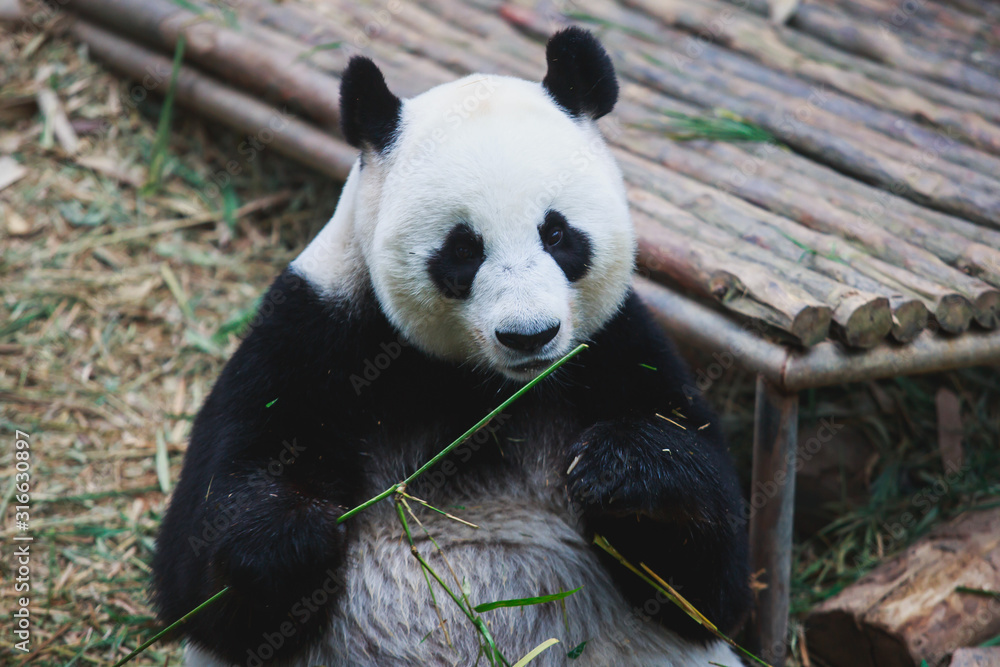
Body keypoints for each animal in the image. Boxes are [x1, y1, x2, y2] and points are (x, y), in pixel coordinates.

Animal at [152, 28, 750, 667]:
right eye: (463, 249)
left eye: (557, 233)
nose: (530, 335)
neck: (482, 385)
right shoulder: (312, 334)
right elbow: (199, 575)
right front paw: (293, 532)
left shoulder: (617, 345)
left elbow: (709, 584)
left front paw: (620, 466)